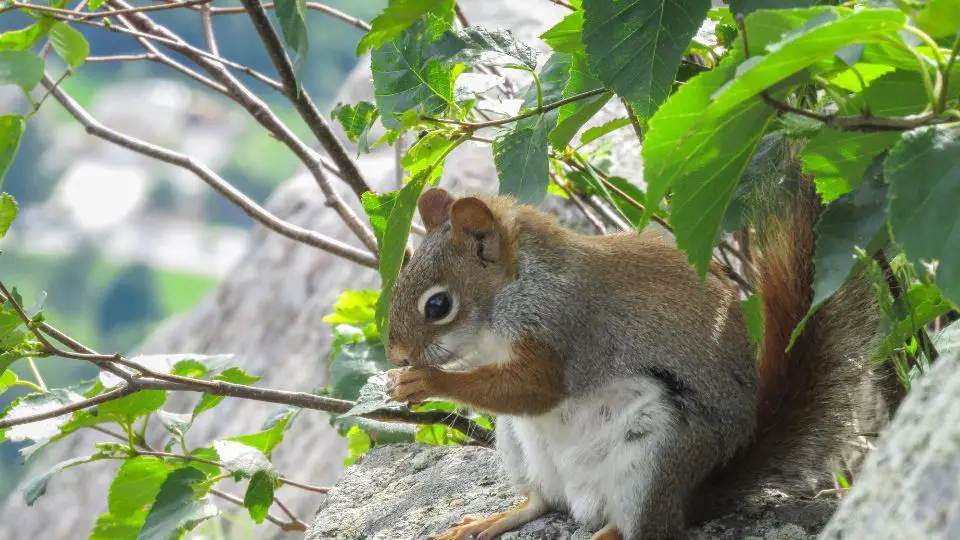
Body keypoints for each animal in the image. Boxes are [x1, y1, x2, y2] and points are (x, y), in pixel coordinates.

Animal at [380, 175, 884, 536]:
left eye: (438, 305)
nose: (397, 353)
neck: (513, 287)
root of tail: (690, 496)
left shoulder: (565, 323)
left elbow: (537, 388)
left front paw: (429, 381)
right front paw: (403, 382)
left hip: (651, 460)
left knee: (641, 529)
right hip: (521, 448)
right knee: (546, 501)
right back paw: (494, 519)